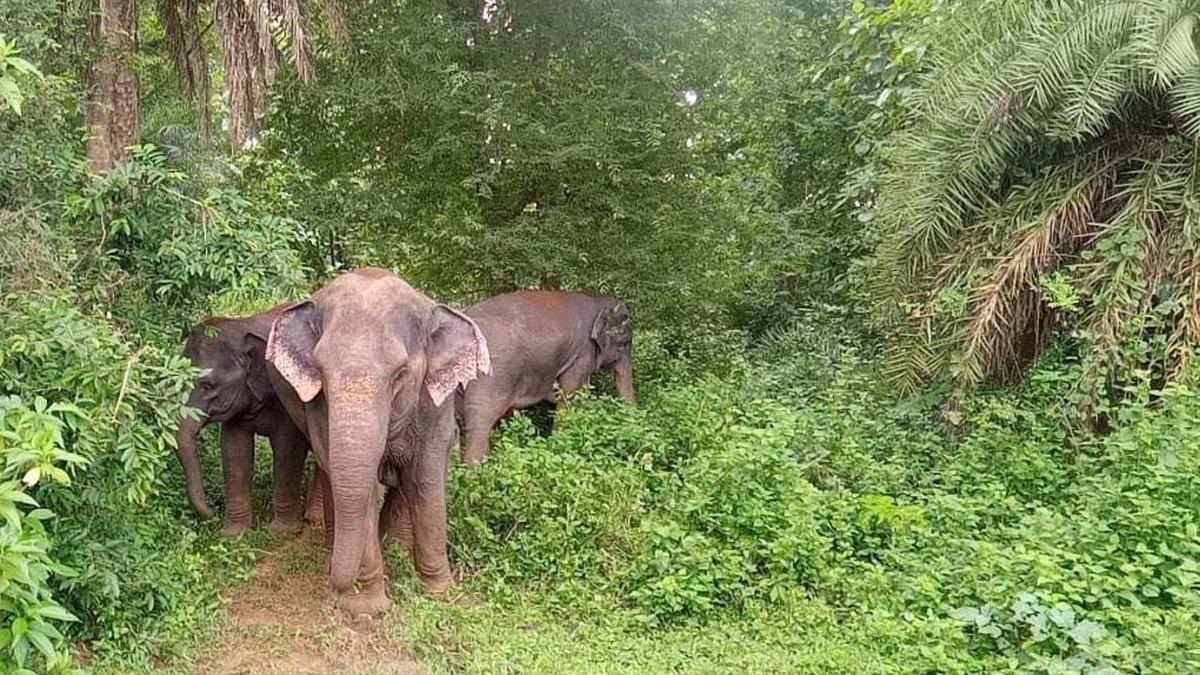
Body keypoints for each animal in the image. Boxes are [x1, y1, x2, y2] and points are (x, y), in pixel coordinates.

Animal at [176, 306, 325, 535]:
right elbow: (234, 450)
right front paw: (234, 533)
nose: (212, 514)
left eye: (209, 385)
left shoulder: (285, 394)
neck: (243, 324)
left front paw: (282, 531)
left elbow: (288, 450)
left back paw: (316, 520)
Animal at [263, 268, 490, 617]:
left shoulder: (433, 405)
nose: (338, 584)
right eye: (320, 372)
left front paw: (441, 592)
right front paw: (367, 608)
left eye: (400, 373)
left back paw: (393, 547)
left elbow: (425, 479)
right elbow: (361, 489)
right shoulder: (319, 410)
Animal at [459, 290, 635, 465]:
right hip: (491, 374)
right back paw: (476, 470)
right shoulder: (582, 355)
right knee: (480, 421)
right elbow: (570, 396)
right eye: (625, 343)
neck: (597, 302)